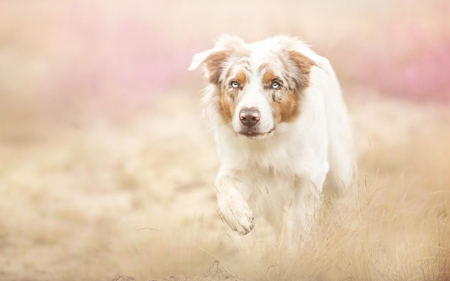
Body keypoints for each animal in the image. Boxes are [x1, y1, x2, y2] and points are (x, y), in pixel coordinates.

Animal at [187, 34, 356, 236]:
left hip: (340, 170)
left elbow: (301, 223)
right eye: (234, 83)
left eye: (276, 84)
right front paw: (238, 215)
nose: (249, 117)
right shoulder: (239, 167)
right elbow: (221, 182)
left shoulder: (311, 174)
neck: (268, 143)